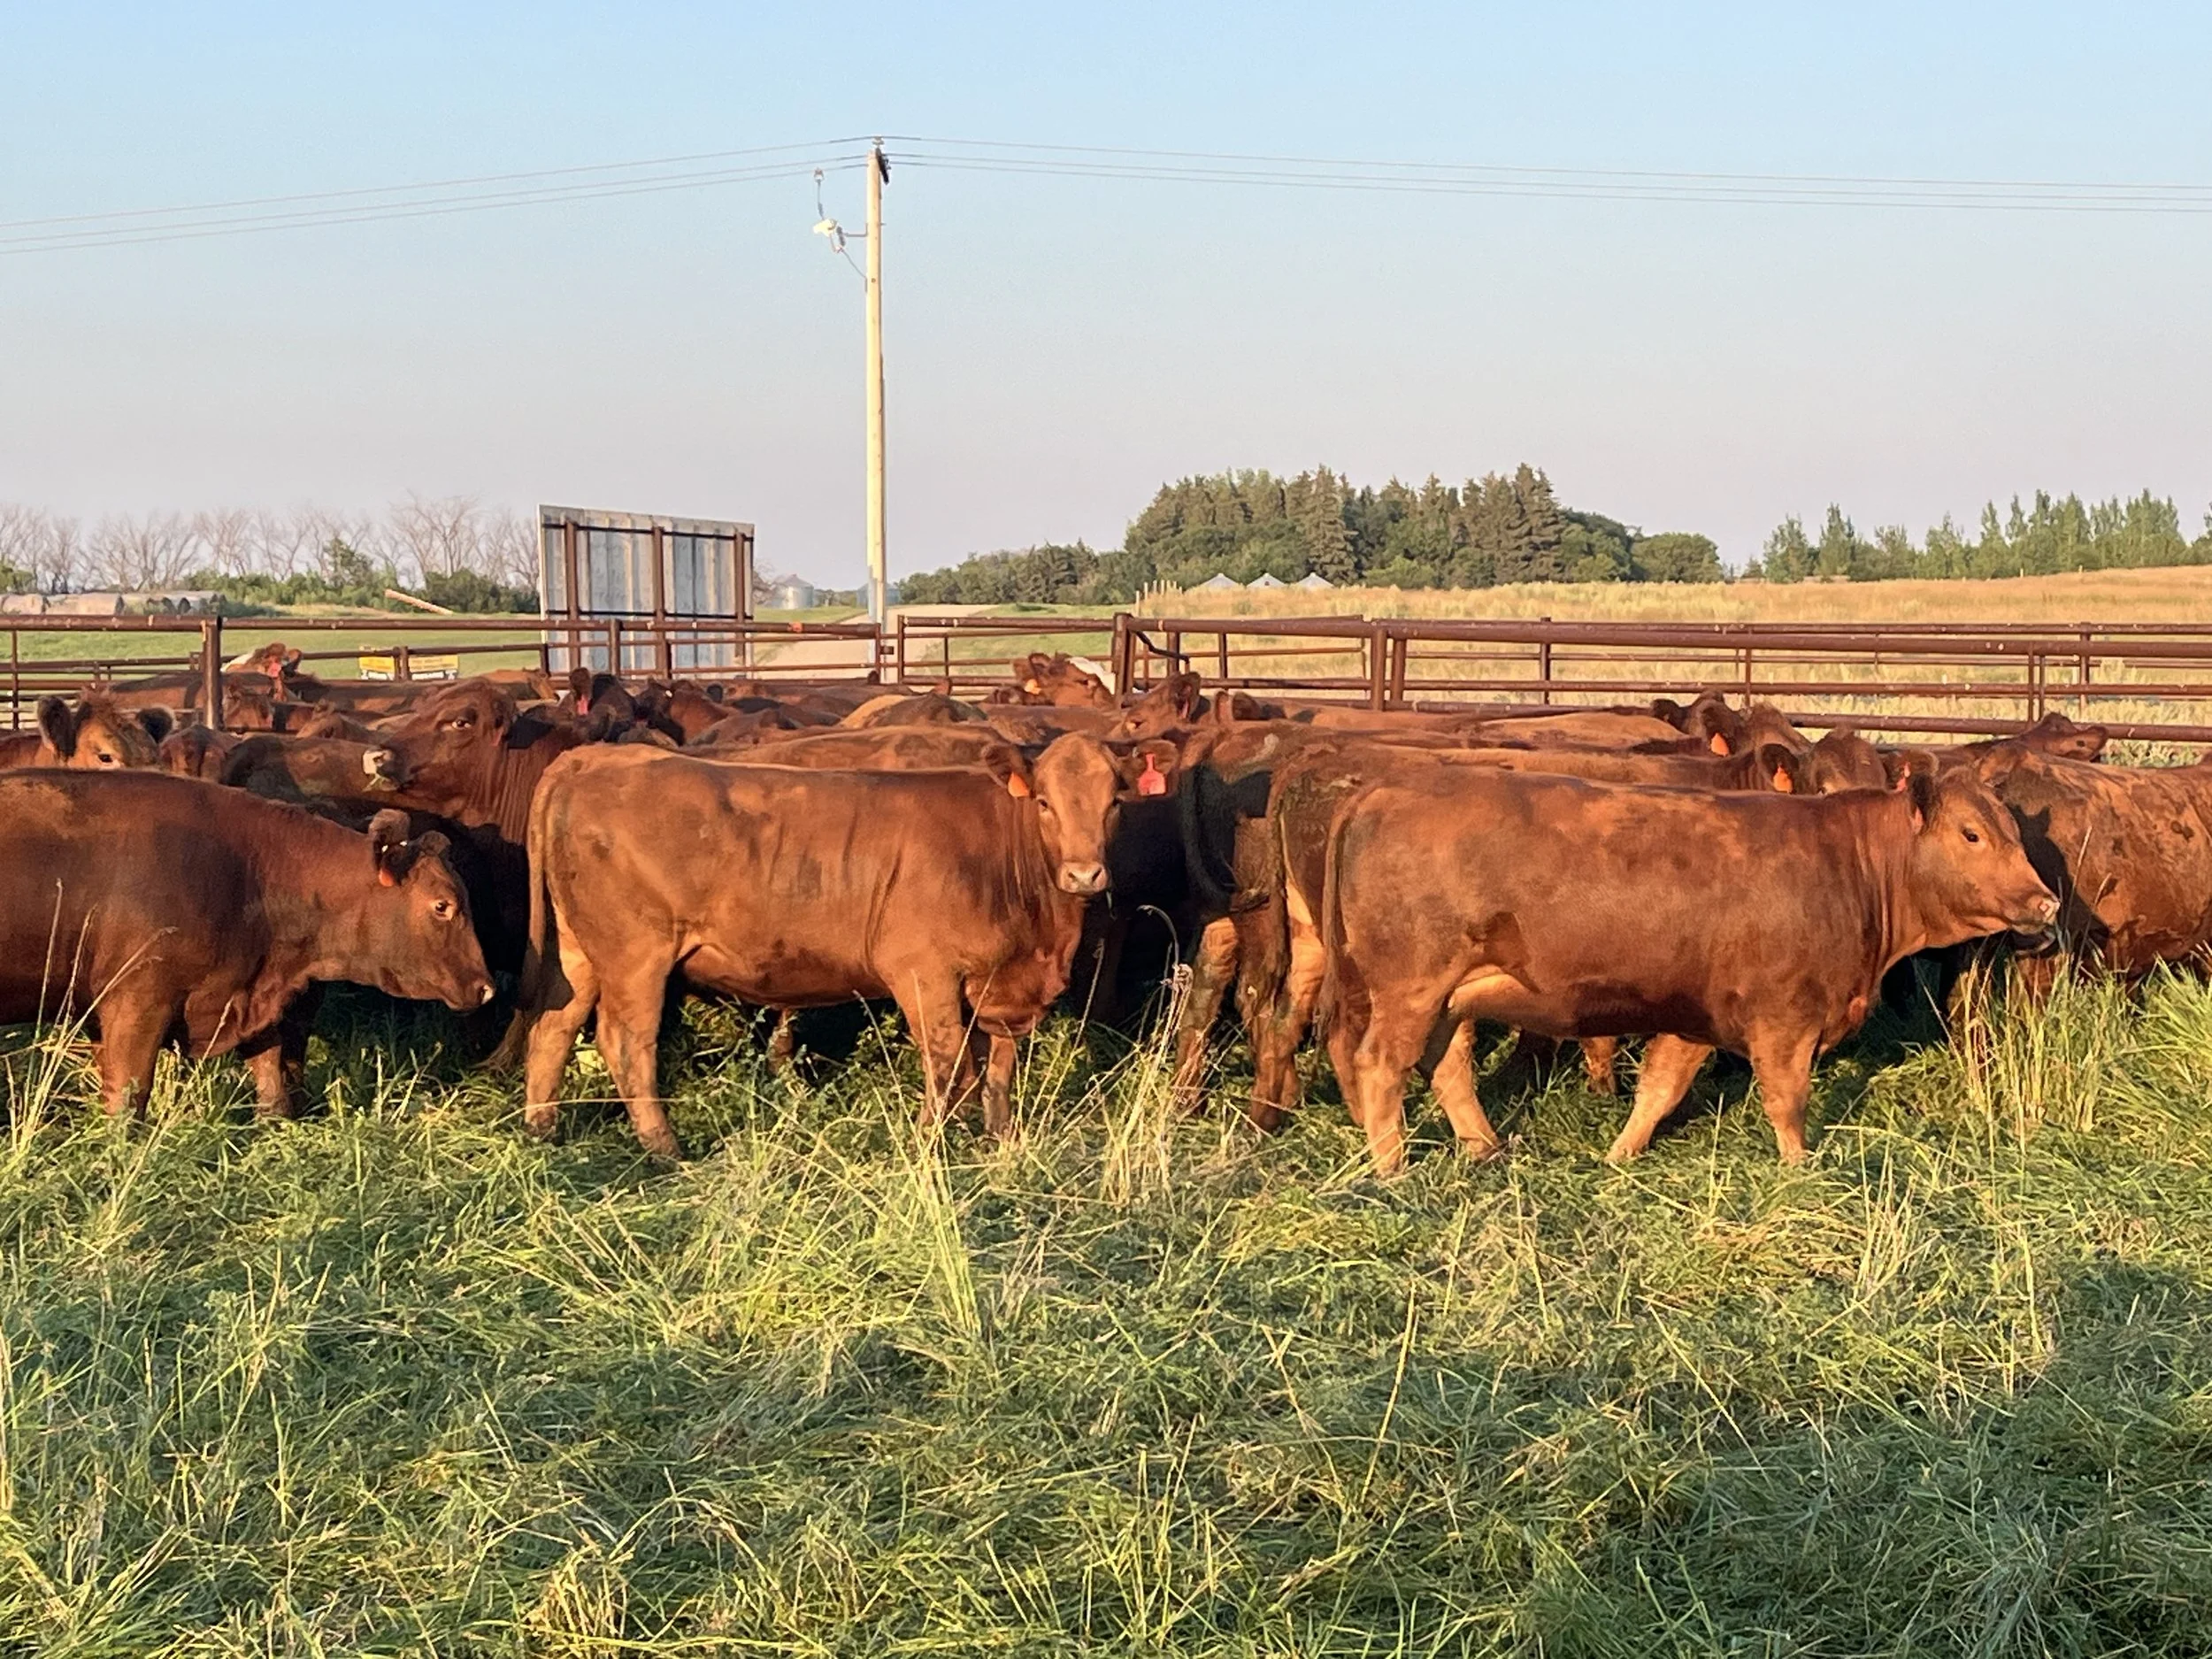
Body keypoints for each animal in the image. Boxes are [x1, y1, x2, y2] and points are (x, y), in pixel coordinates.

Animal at [510, 733, 1155, 1157]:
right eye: (1044, 802)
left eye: (1114, 802)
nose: (1084, 874)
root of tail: (592, 756)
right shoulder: (923, 972)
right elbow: (947, 1058)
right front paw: (928, 1143)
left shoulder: (997, 984)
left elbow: (998, 1061)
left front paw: (1000, 1137)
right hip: (635, 956)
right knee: (626, 1043)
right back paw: (666, 1148)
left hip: (578, 952)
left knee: (552, 1029)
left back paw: (542, 1134)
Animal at [1315, 766, 2056, 1173]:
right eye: (1971, 834)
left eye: (2014, 831)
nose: (2044, 899)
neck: (1849, 864)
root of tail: (1381, 789)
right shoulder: (1784, 1017)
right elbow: (1787, 1101)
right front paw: (1800, 1166)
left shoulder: (1695, 1016)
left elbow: (1659, 1090)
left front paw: (1619, 1155)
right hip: (1411, 987)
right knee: (1381, 1064)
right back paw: (1392, 1166)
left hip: (1446, 996)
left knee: (1446, 1067)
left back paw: (1486, 1147)